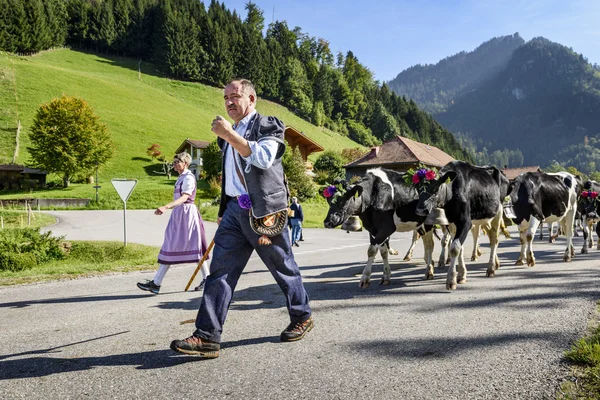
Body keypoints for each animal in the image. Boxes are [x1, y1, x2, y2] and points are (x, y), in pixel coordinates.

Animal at [414, 161, 504, 290]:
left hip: (498, 212)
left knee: (495, 239)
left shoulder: (465, 222)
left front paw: (451, 280)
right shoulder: (451, 222)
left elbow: (455, 248)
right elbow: (459, 247)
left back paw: (491, 268)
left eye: (435, 188)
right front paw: (461, 275)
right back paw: (495, 263)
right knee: (491, 237)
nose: (421, 210)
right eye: (416, 188)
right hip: (483, 218)